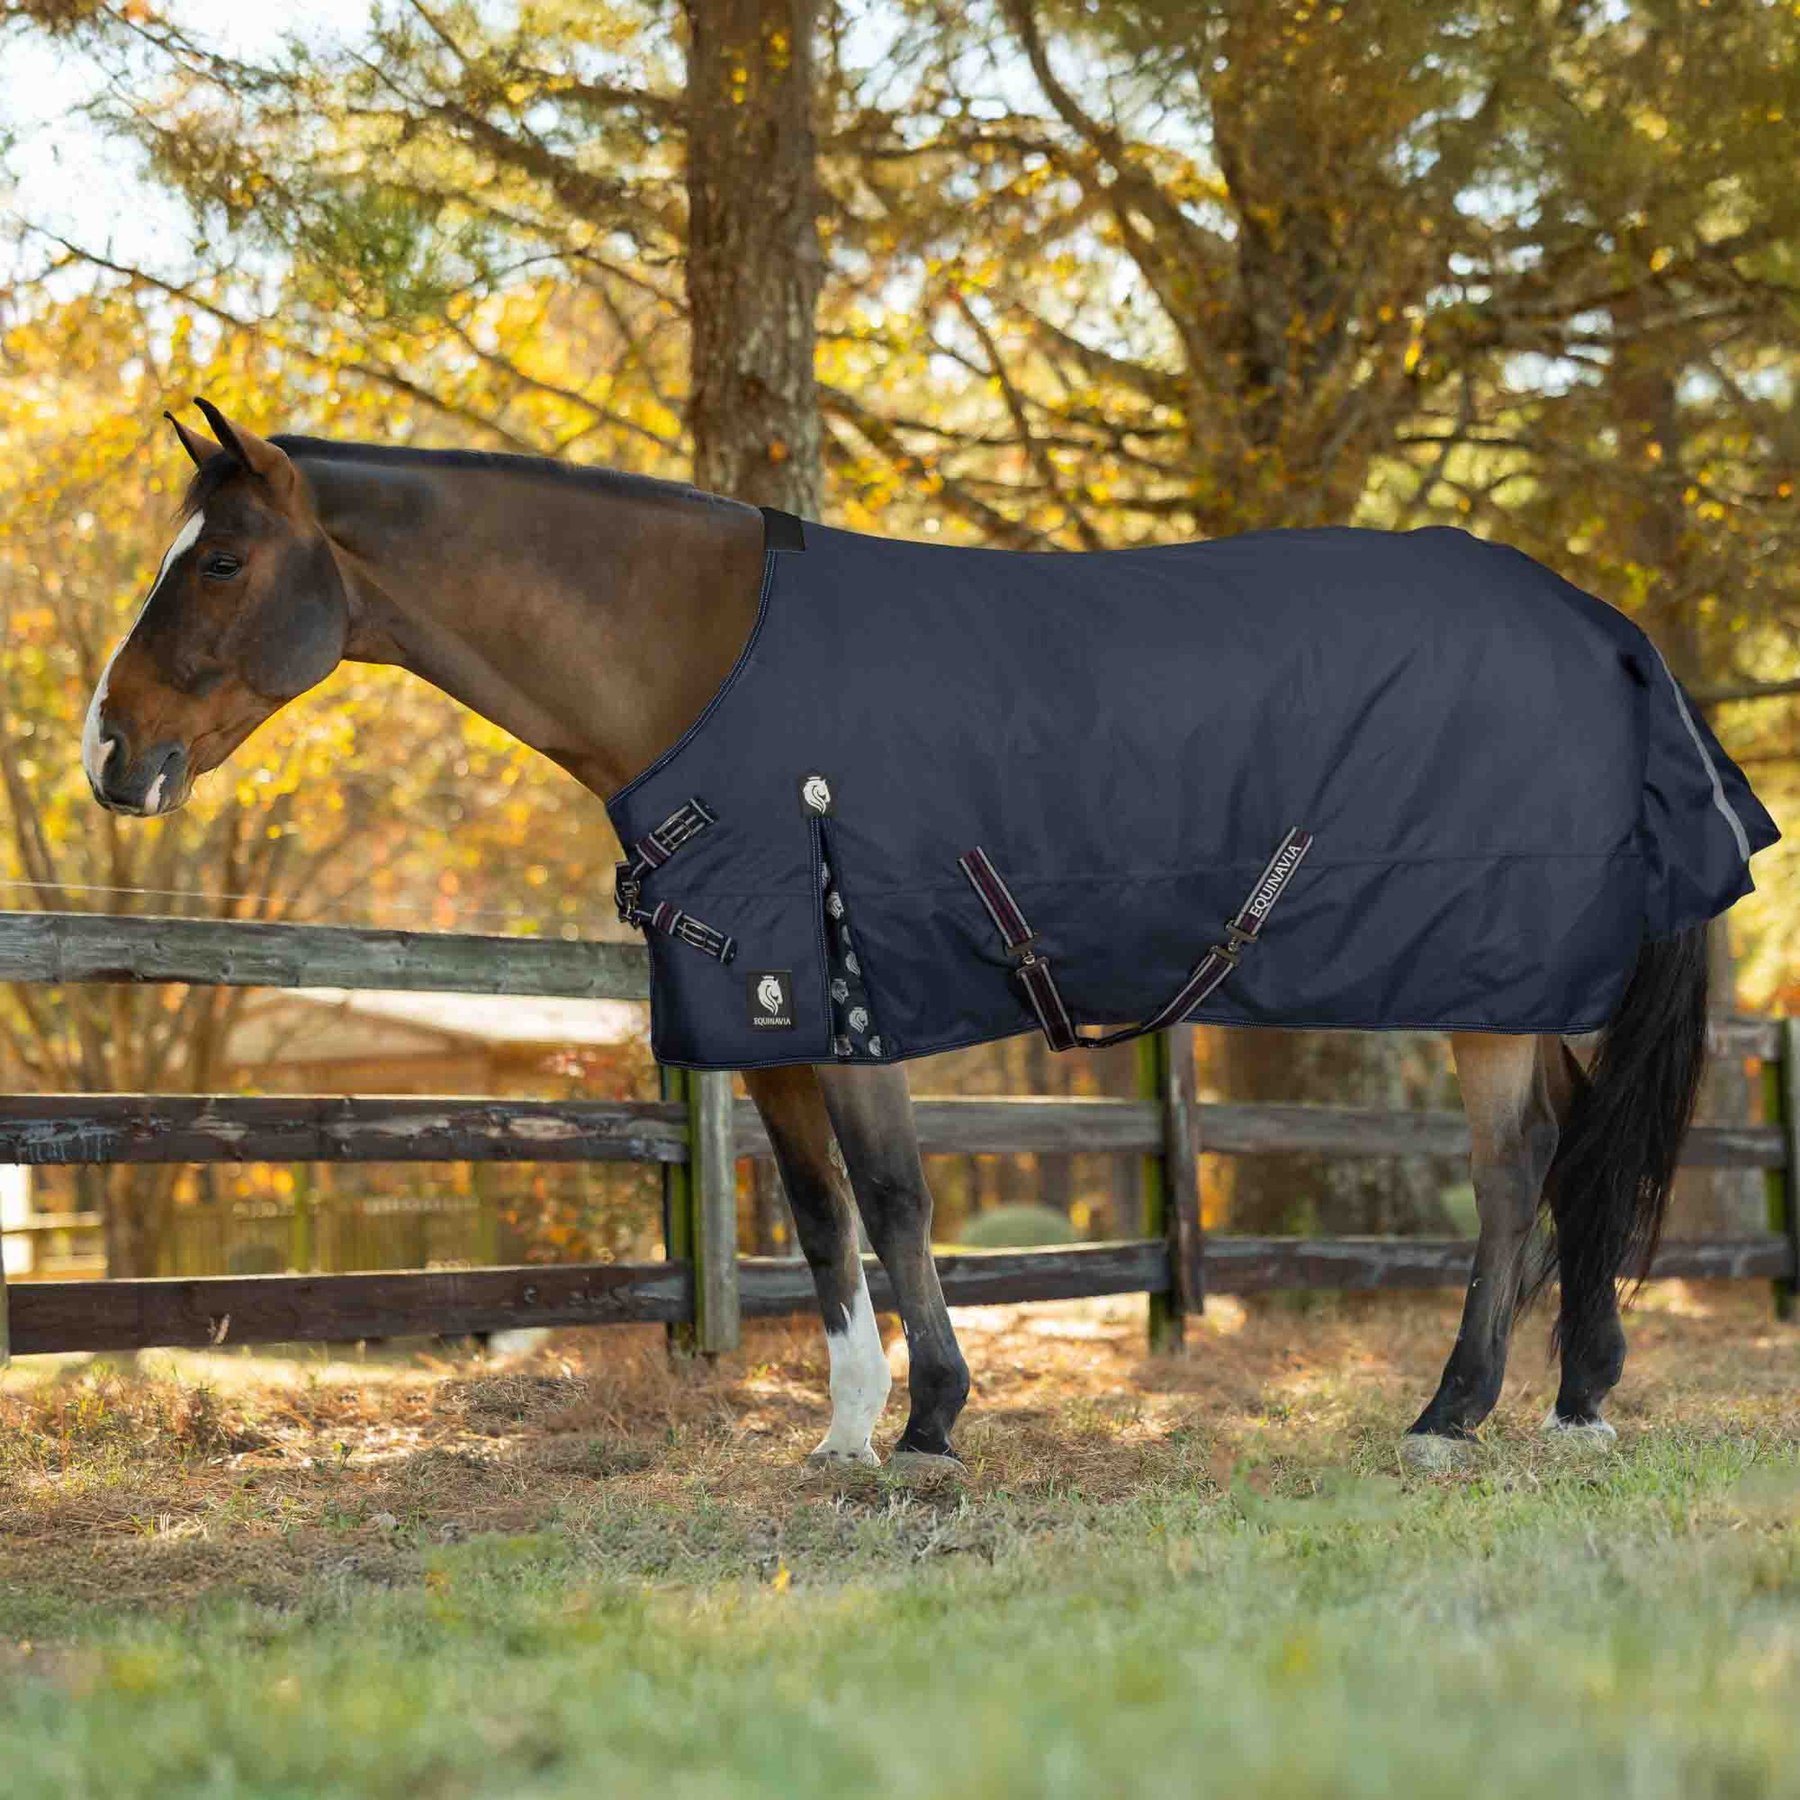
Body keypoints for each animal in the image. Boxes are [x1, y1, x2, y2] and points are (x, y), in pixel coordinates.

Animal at [83, 400, 1756, 1476]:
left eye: (218, 562)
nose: (110, 753)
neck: (705, 664)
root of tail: (1604, 628)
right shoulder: (767, 1015)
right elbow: (821, 1221)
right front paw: (843, 1435)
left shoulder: (853, 990)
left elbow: (892, 1200)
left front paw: (938, 1423)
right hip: (1536, 988)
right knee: (1577, 1155)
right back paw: (1575, 1402)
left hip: (1499, 981)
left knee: (1516, 1170)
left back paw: (1452, 1414)